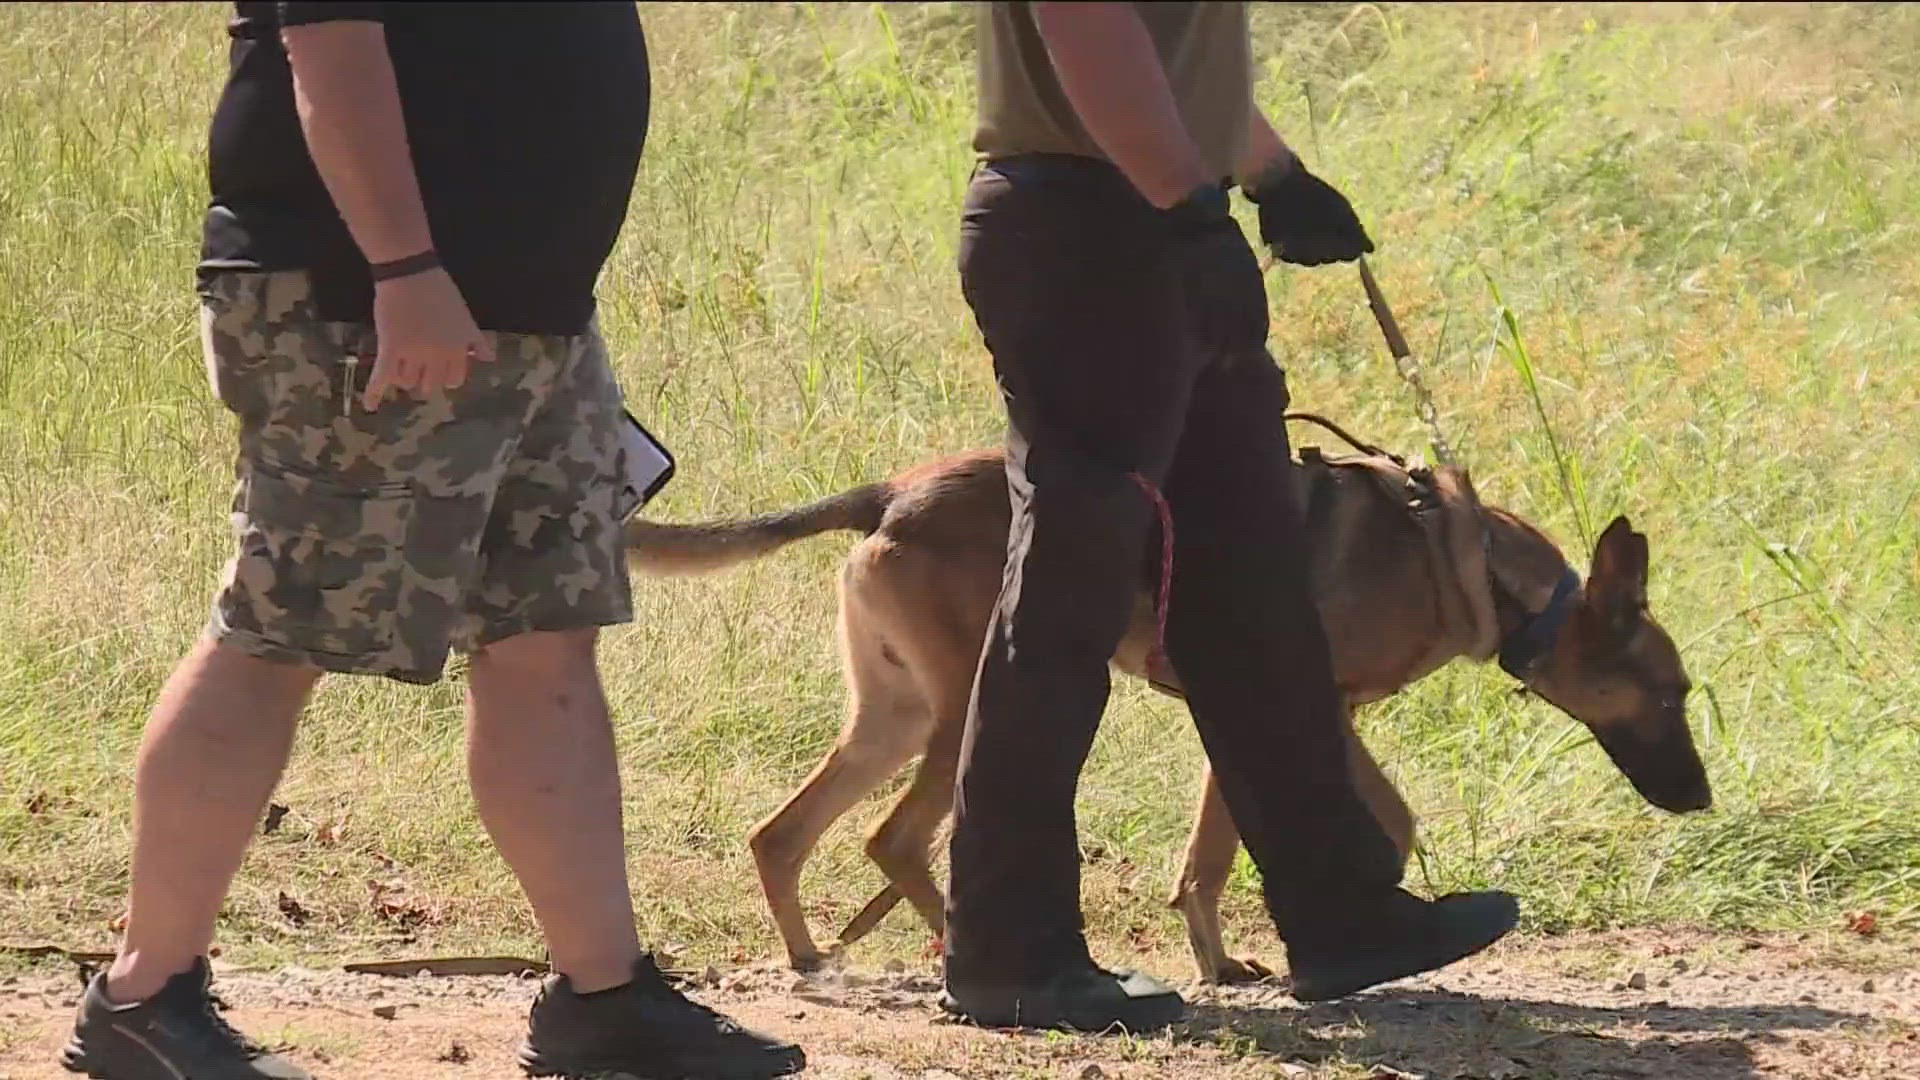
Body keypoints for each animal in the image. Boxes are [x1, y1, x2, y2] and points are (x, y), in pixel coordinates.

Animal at [625, 422, 1712, 983]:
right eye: (1670, 695)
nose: (1701, 801)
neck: (1473, 565)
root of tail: (890, 492)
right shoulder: (1314, 706)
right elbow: (1367, 825)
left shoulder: (1268, 714)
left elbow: (1214, 853)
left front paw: (1229, 958)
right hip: (960, 710)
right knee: (893, 838)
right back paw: (965, 952)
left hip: (893, 718)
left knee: (782, 834)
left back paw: (817, 951)